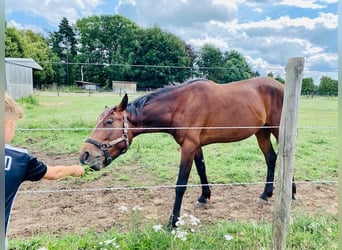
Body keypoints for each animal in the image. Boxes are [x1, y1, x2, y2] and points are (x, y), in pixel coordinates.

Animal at [79, 77, 296, 228]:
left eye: (109, 122)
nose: (85, 155)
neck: (181, 104)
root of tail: (281, 86)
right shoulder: (196, 146)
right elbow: (202, 170)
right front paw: (204, 197)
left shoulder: (188, 146)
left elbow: (180, 184)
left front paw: (173, 221)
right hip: (262, 132)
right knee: (272, 159)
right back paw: (267, 194)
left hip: (278, 130)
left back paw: (290, 193)